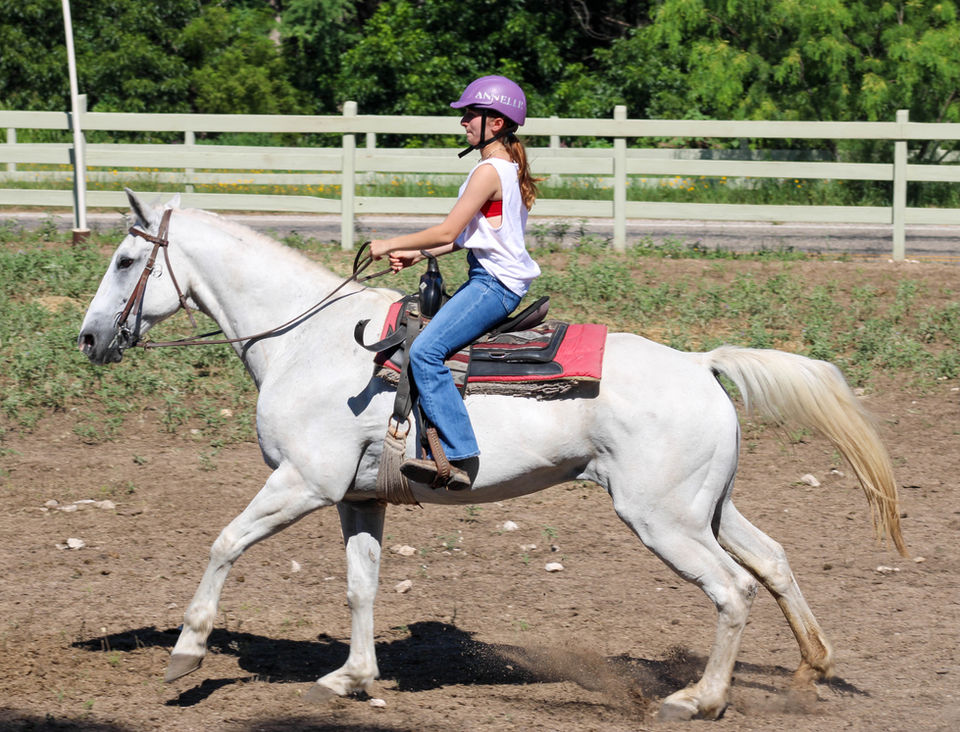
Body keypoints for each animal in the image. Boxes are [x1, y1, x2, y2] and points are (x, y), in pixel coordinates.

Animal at [78, 190, 905, 721]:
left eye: (122, 261)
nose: (88, 339)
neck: (306, 342)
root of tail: (702, 364)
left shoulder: (304, 482)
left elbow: (224, 543)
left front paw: (187, 652)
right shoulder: (359, 498)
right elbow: (361, 589)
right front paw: (351, 678)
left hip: (663, 519)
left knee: (731, 590)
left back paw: (699, 698)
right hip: (708, 507)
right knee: (772, 561)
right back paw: (809, 671)